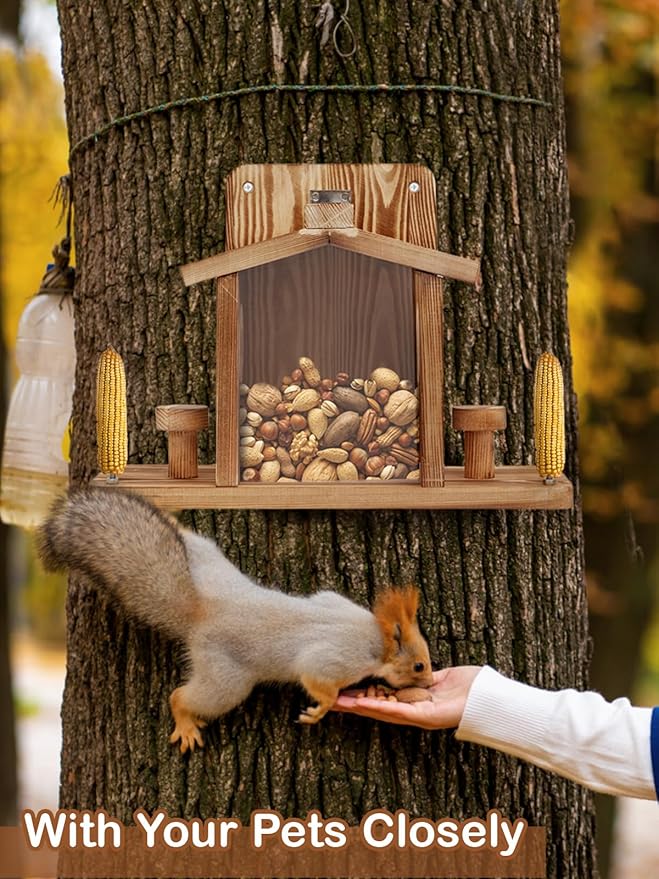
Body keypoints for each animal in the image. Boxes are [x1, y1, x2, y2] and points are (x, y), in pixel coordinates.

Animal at [37, 488, 433, 753]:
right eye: (418, 665)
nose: (430, 682)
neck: (375, 636)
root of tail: (201, 610)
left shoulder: (335, 602)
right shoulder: (340, 658)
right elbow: (318, 679)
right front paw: (320, 710)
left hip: (209, 562)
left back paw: (174, 521)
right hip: (226, 680)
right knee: (184, 696)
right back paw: (185, 722)